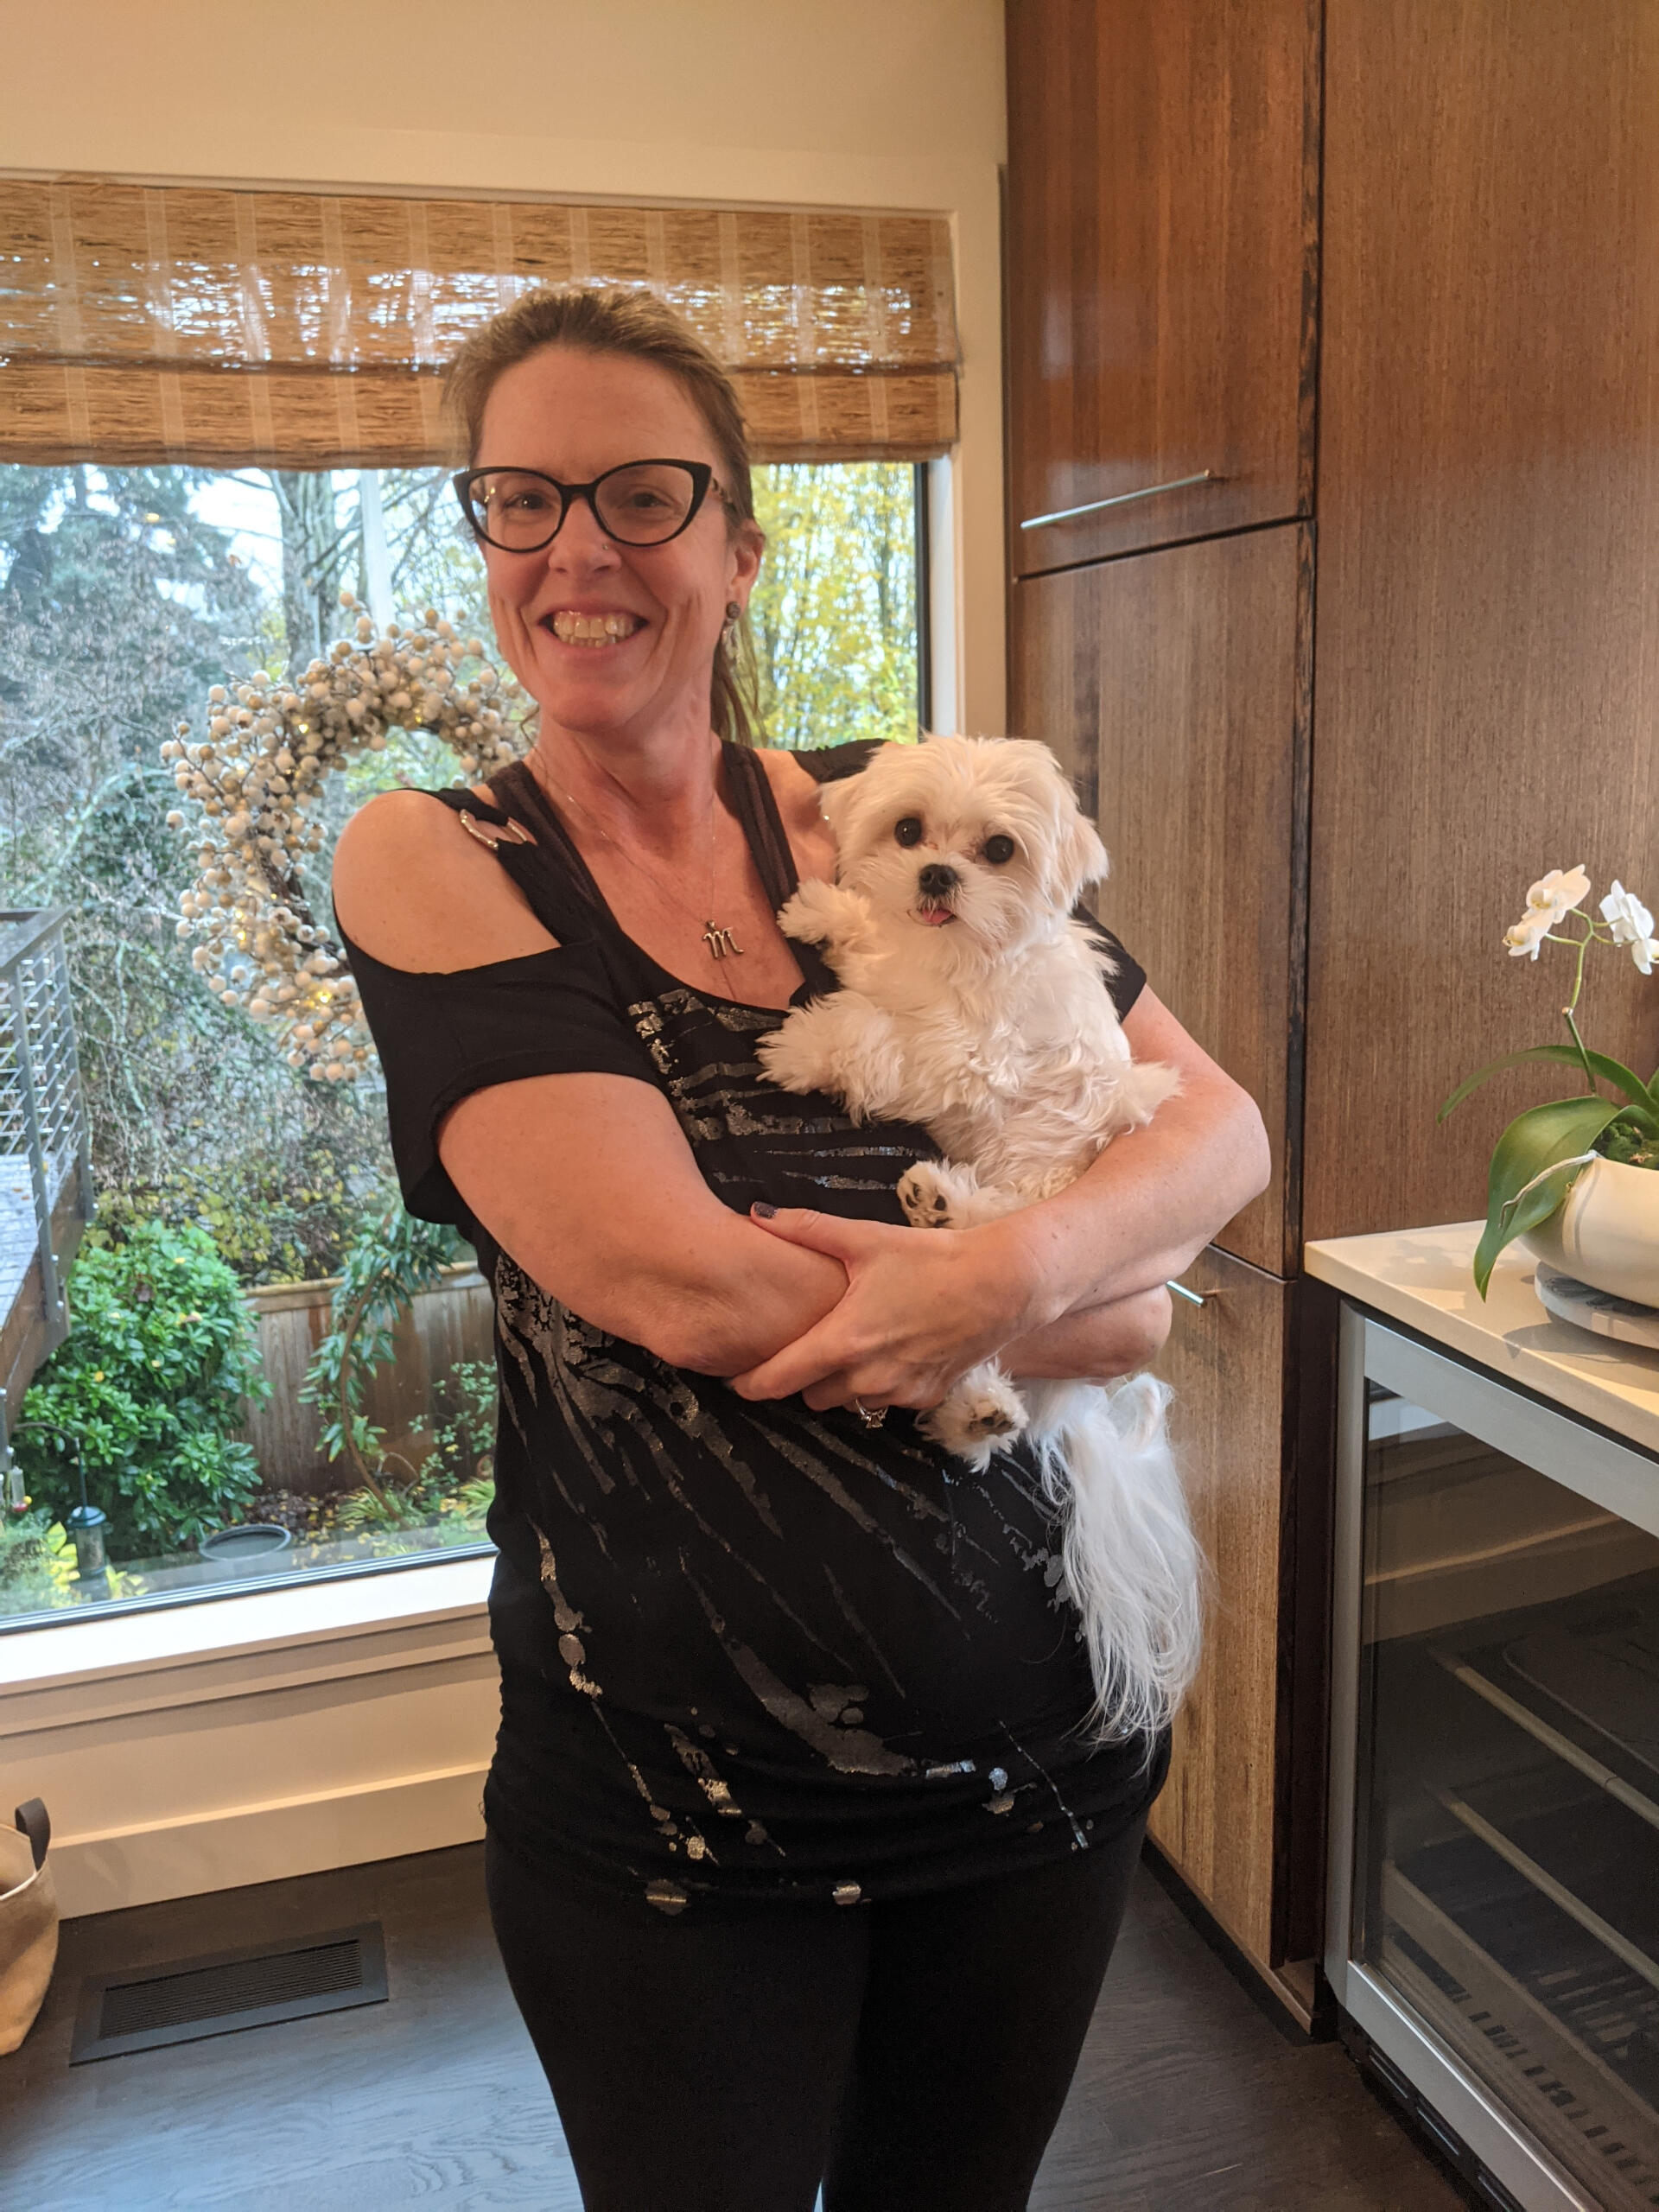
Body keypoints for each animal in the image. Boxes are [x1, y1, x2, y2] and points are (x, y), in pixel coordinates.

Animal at [757, 734, 1204, 1742]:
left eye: (997, 850)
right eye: (908, 830)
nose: (937, 873)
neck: (947, 952)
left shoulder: (963, 1054)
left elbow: (873, 1034)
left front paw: (803, 1047)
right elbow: (870, 954)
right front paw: (828, 909)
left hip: (1040, 1193)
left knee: (1000, 1242)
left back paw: (941, 1209)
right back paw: (978, 1409)